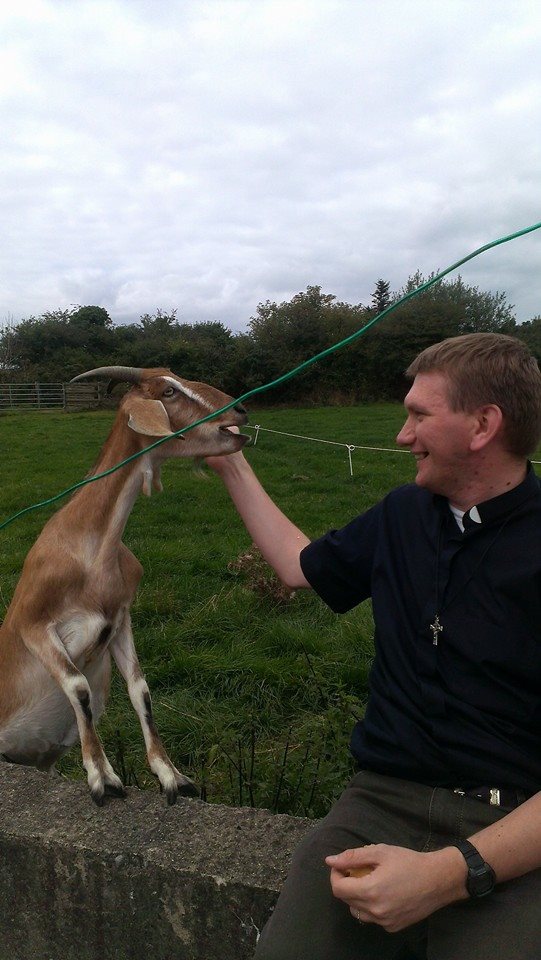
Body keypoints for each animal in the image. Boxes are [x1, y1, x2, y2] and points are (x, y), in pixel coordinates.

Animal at [0, 366, 248, 805]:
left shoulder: (120, 618)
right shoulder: (33, 623)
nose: (241, 412)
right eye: (168, 390)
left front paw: (171, 775)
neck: (91, 551)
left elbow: (140, 690)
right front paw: (103, 777)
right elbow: (79, 686)